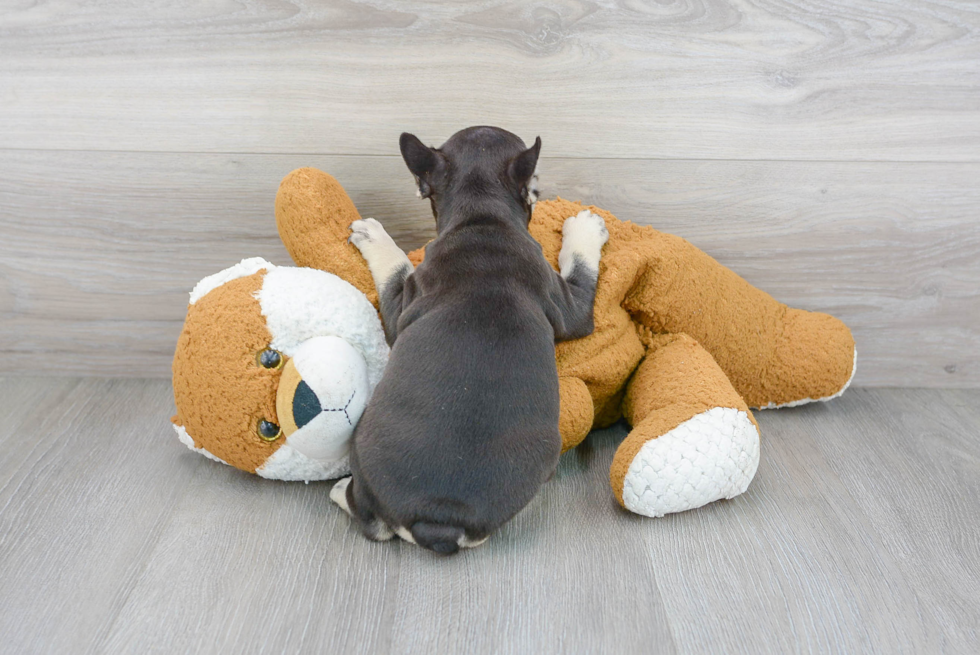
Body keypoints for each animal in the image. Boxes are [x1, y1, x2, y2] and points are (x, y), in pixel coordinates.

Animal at [334, 127, 608, 552]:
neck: (482, 216)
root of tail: (438, 519)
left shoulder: (402, 304)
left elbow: (396, 265)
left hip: (360, 443)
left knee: (367, 517)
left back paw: (338, 489)